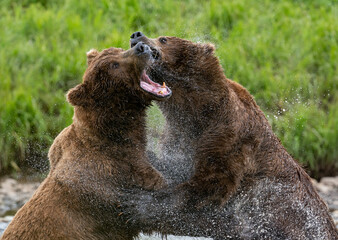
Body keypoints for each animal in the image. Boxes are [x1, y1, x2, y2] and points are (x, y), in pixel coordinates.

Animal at [121, 32, 338, 240]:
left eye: (163, 38)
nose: (136, 34)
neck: (197, 110)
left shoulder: (230, 136)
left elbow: (210, 184)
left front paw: (138, 202)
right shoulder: (180, 135)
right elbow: (173, 164)